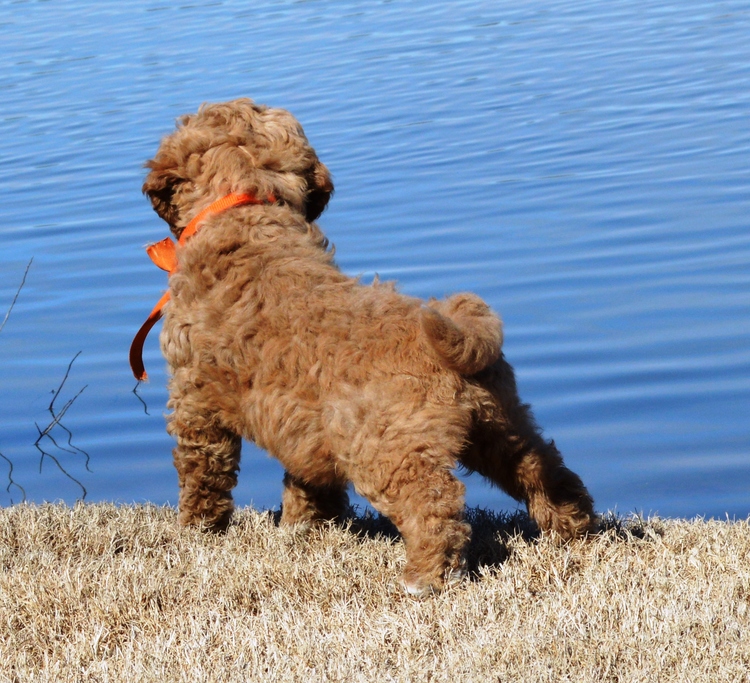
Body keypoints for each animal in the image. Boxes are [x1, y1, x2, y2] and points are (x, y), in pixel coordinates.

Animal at [132, 99, 596, 596]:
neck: (248, 210)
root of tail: (460, 330)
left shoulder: (194, 398)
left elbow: (202, 470)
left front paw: (198, 529)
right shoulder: (303, 426)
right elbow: (309, 480)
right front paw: (304, 527)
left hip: (388, 449)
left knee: (434, 505)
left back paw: (424, 577)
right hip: (500, 424)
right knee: (544, 469)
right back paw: (574, 529)